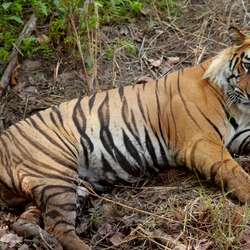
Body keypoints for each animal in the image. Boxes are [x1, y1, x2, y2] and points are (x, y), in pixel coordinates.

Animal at [0, 27, 249, 250]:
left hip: (56, 188)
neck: (239, 107)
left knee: (25, 221)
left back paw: (39, 237)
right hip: (54, 175)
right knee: (59, 228)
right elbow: (234, 171)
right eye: (247, 64)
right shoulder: (200, 141)